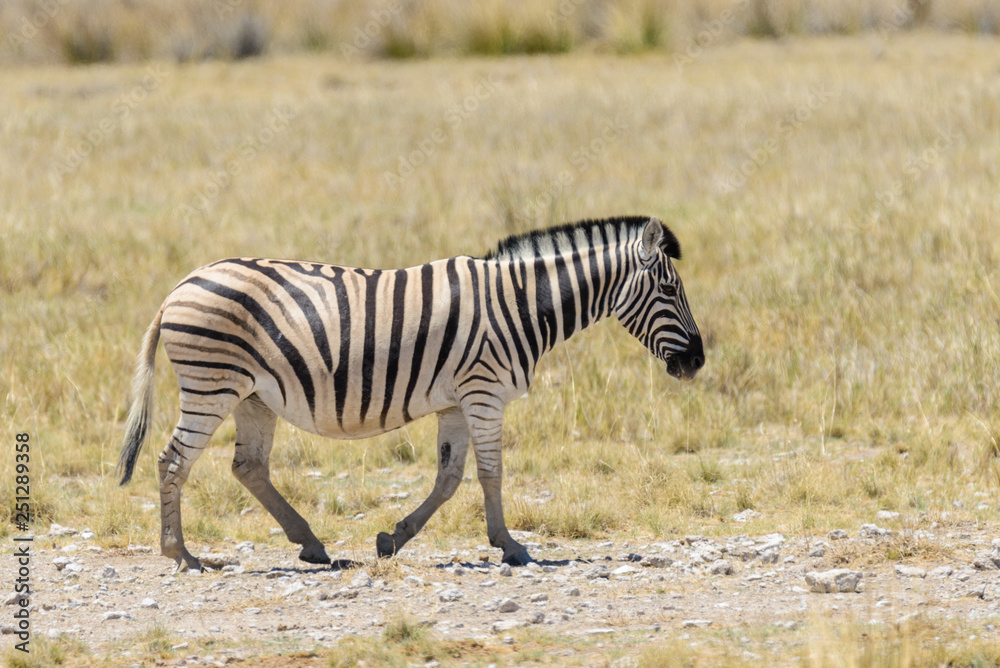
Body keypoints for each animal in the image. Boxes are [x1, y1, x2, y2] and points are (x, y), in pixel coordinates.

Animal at [117, 215, 704, 571]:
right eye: (670, 289)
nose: (698, 362)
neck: (520, 304)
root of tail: (179, 286)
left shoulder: (457, 401)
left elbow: (449, 478)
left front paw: (392, 539)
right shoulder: (484, 391)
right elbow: (491, 472)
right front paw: (512, 547)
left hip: (253, 396)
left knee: (248, 467)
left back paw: (310, 544)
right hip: (212, 384)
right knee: (173, 461)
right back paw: (182, 555)